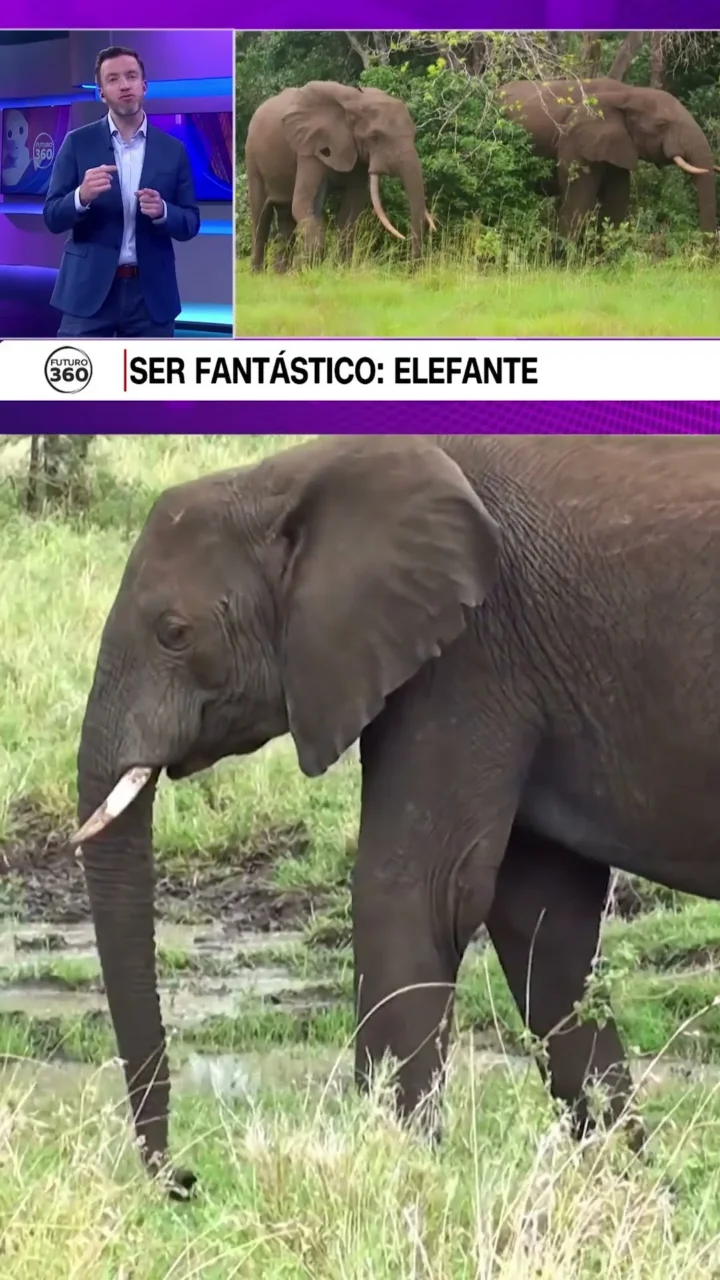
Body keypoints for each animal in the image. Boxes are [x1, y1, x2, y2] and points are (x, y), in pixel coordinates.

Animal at [72, 432, 720, 1195]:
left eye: (174, 632)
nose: (185, 1180)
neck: (295, 473)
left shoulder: (469, 654)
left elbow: (413, 893)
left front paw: (399, 1175)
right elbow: (544, 919)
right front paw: (628, 1189)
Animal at [244, 80, 435, 271]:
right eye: (375, 137)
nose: (412, 270)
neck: (356, 102)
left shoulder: (357, 156)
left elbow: (351, 209)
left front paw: (342, 269)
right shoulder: (310, 149)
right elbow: (304, 205)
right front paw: (307, 269)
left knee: (285, 218)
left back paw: (280, 274)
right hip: (252, 158)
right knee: (261, 217)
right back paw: (258, 273)